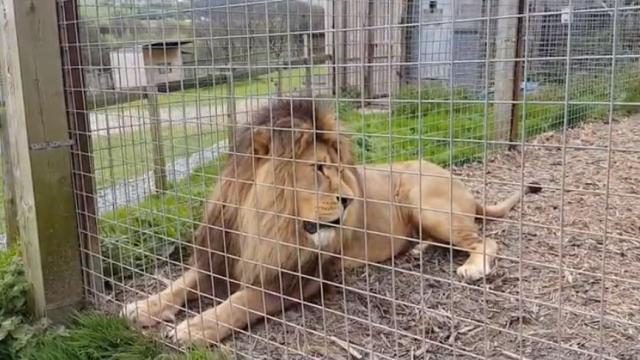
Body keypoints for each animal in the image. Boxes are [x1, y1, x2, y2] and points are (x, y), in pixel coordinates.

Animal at [122, 99, 544, 346]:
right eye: (319, 169)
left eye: (340, 169)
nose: (350, 199)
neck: (266, 224)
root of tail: (461, 184)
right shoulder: (222, 255)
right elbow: (179, 284)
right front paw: (142, 307)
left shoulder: (298, 278)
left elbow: (240, 302)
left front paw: (195, 328)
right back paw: (419, 250)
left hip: (428, 204)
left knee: (484, 240)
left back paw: (472, 266)